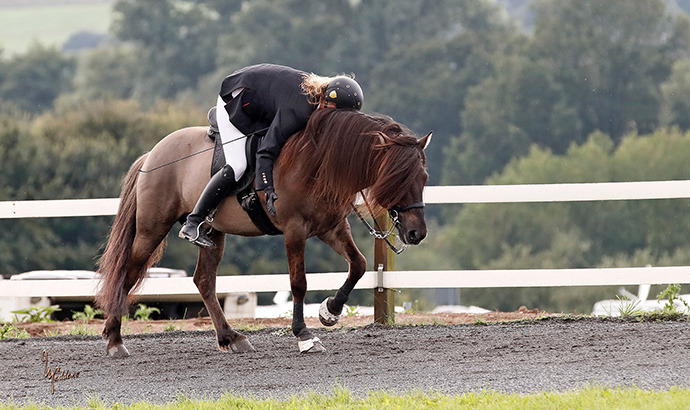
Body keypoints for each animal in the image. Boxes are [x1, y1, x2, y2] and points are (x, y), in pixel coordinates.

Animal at [95, 108, 431, 357]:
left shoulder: (332, 228)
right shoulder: (294, 231)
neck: (319, 160)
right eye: (398, 177)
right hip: (152, 229)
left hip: (212, 233)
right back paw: (114, 340)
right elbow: (299, 283)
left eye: (424, 177)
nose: (417, 234)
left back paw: (231, 337)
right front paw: (304, 335)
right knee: (128, 274)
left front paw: (330, 311)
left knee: (203, 281)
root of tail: (152, 154)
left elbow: (358, 265)